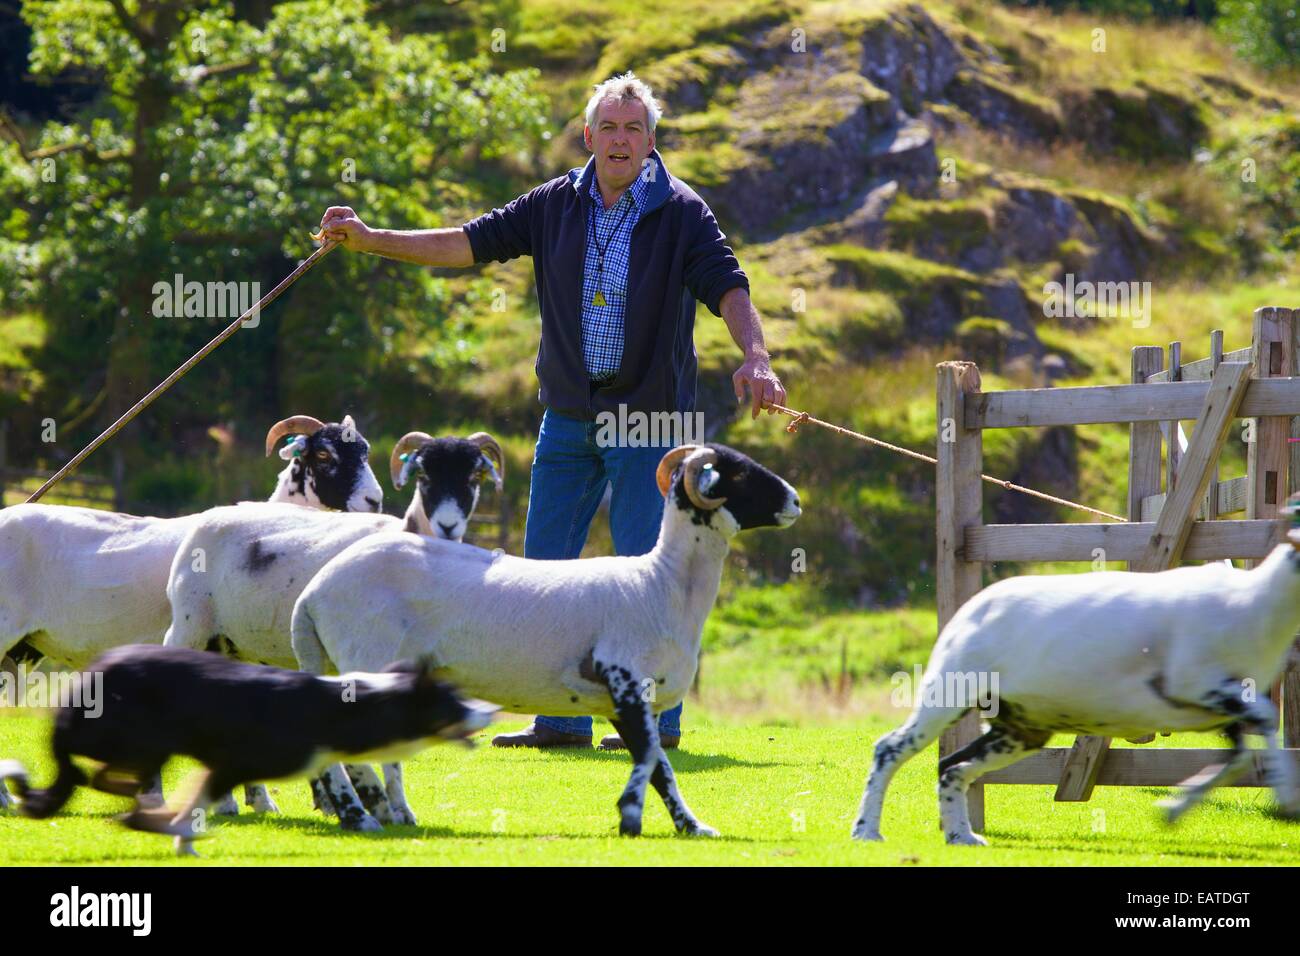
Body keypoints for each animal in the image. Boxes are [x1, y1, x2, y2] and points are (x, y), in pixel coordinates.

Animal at [161, 429, 501, 816]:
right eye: (424, 475)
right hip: (190, 626)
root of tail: (211, 516)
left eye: (475, 476)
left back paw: (252, 802)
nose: (447, 525)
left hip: (232, 644)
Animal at [293, 444, 795, 832]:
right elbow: (659, 767)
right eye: (740, 472)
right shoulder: (625, 683)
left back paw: (378, 814)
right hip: (366, 659)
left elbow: (653, 764)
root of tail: (314, 592)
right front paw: (661, 822)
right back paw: (368, 816)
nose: (795, 500)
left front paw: (676, 824)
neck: (659, 584)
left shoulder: (621, 701)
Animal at [847, 502, 1300, 842]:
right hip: (950, 690)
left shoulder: (1225, 706)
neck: (1255, 601)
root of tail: (973, 606)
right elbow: (1261, 724)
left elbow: (1242, 754)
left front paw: (1175, 809)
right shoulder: (1193, 683)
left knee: (953, 766)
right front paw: (1285, 801)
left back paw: (961, 836)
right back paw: (867, 831)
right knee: (890, 748)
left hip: (1021, 726)